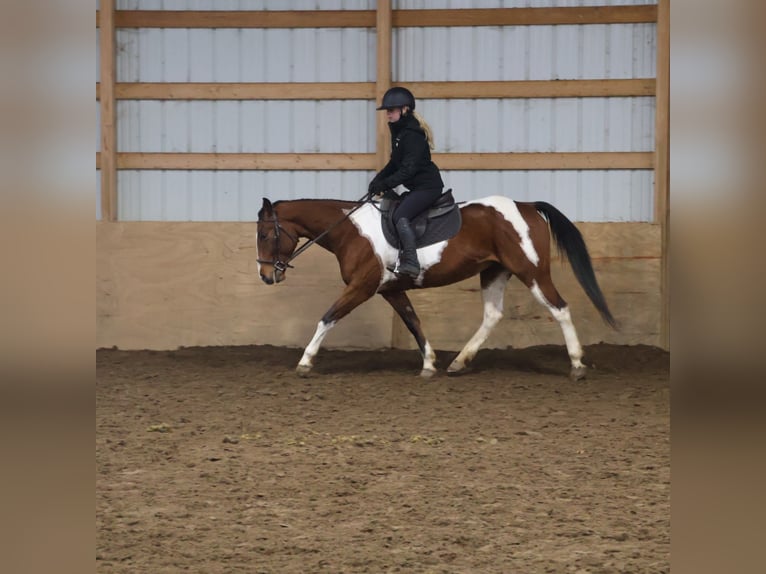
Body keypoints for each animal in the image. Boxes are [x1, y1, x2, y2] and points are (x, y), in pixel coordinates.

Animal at [255, 195, 617, 380]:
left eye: (264, 234)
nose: (266, 276)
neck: (351, 230)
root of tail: (527, 206)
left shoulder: (362, 287)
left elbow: (327, 317)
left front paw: (305, 361)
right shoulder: (390, 289)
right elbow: (413, 322)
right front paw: (429, 363)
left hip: (532, 272)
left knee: (560, 308)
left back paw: (577, 365)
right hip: (495, 272)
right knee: (492, 316)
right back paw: (459, 362)